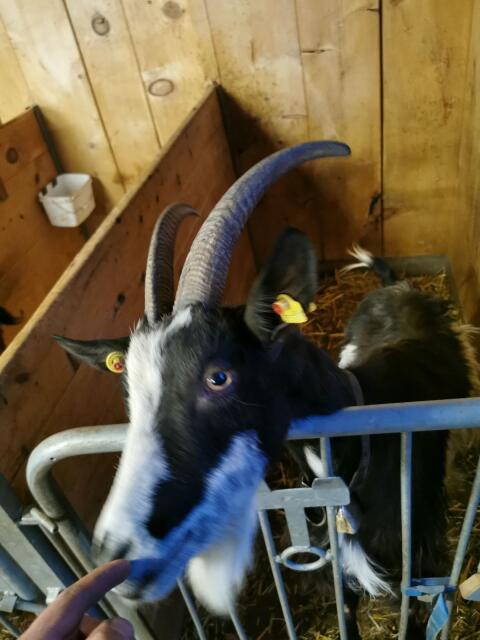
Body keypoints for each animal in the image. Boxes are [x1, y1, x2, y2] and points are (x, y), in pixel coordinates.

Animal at [54, 142, 477, 639]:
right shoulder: (337, 573)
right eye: (129, 388)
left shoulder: (418, 564)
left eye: (218, 377)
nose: (115, 555)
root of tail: (397, 289)